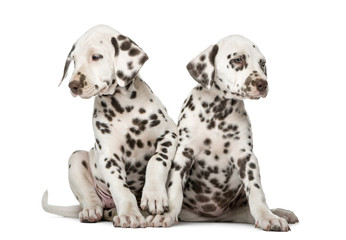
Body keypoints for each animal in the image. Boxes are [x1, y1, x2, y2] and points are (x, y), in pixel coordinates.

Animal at [43, 25, 177, 228]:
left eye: (96, 56)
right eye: (74, 60)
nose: (73, 85)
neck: (124, 107)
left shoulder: (170, 134)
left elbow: (157, 161)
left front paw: (154, 196)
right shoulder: (108, 156)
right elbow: (120, 187)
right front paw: (129, 214)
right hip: (76, 158)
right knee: (91, 198)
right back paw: (92, 211)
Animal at [150, 35, 298, 231]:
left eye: (262, 63)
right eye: (238, 59)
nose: (263, 84)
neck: (218, 112)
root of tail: (215, 217)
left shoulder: (245, 157)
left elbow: (256, 191)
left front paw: (268, 217)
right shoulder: (184, 154)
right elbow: (174, 189)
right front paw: (166, 214)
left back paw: (279, 213)